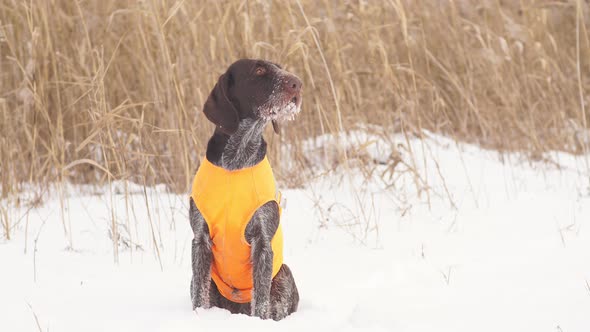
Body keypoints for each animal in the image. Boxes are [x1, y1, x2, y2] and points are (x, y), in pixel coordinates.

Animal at [191, 58, 302, 320]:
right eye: (259, 70)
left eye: (279, 67)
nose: (298, 83)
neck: (237, 160)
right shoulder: (199, 239)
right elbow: (199, 296)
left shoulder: (262, 243)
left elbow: (260, 301)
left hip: (284, 274)